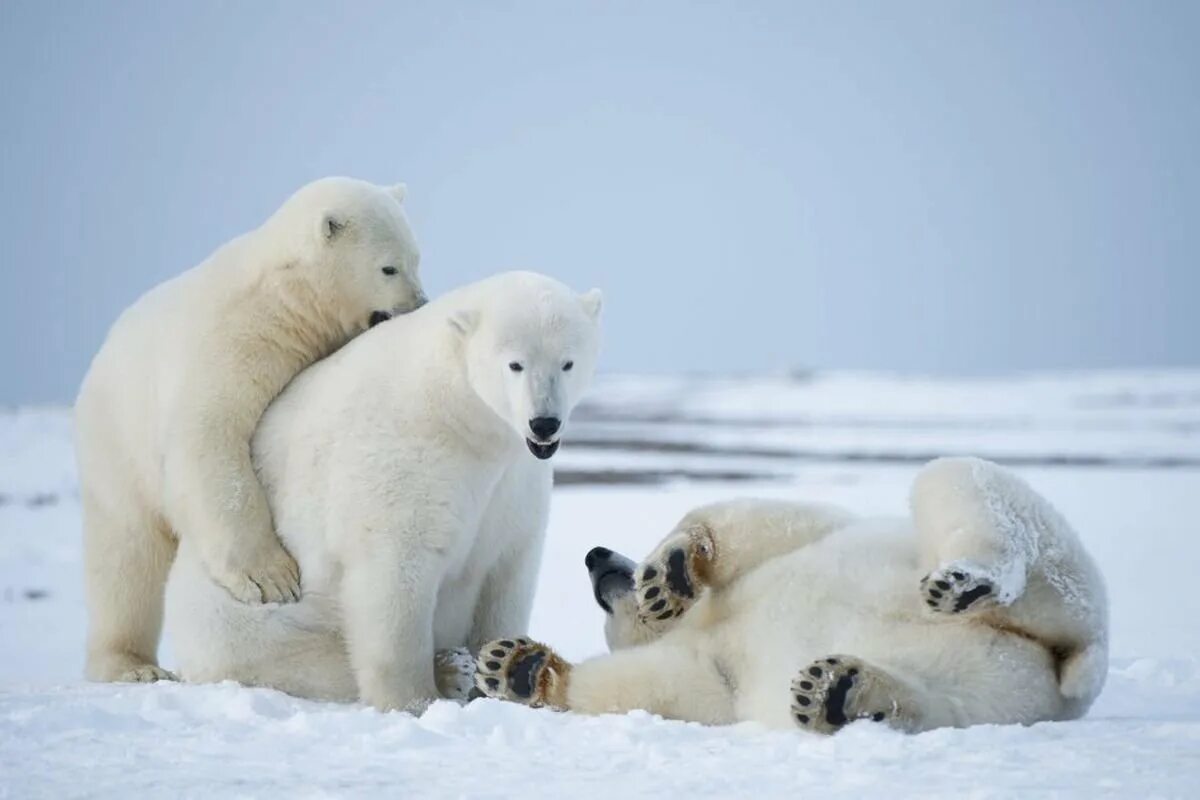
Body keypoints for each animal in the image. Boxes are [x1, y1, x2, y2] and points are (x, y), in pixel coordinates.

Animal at [76, 178, 427, 686]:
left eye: (417, 258)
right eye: (389, 267)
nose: (418, 304)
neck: (289, 295)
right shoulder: (239, 341)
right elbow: (208, 437)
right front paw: (273, 578)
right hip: (118, 444)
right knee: (126, 555)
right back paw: (133, 666)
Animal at [164, 271, 604, 714]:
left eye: (568, 362)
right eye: (515, 363)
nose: (544, 423)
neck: (458, 413)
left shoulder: (515, 484)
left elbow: (506, 573)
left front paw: (505, 665)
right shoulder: (408, 463)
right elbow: (394, 573)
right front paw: (416, 698)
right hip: (240, 614)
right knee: (300, 654)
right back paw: (446, 670)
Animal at [472, 460, 1108, 734]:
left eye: (605, 592)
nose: (596, 554)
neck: (702, 622)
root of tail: (1070, 664)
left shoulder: (791, 544)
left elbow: (765, 521)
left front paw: (669, 573)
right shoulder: (708, 663)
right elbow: (681, 689)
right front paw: (515, 667)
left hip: (1050, 576)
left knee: (959, 483)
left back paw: (965, 580)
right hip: (1000, 691)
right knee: (941, 703)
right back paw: (838, 691)